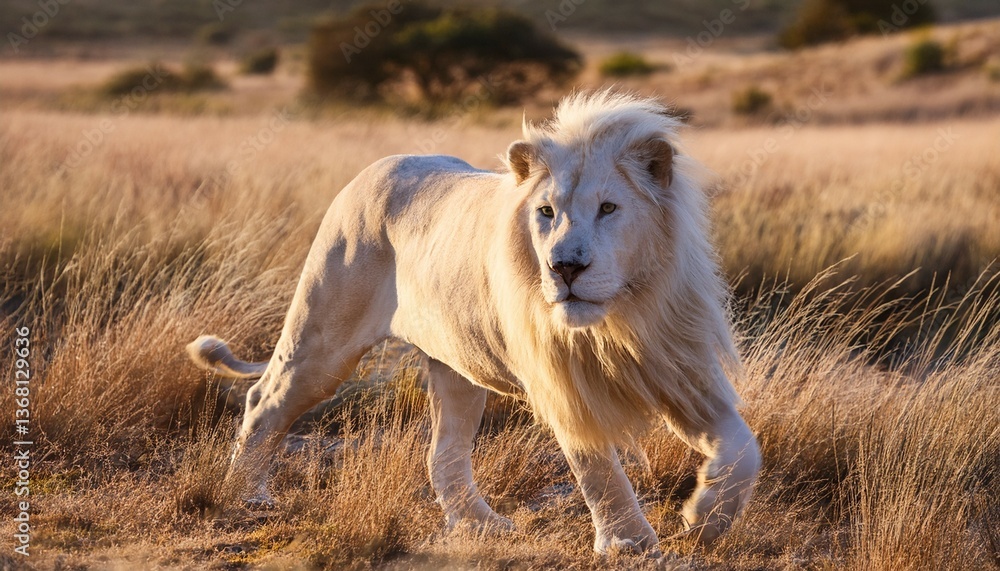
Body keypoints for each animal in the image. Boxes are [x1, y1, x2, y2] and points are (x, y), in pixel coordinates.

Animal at [187, 90, 760, 554]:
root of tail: (374, 169)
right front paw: (628, 542)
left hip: (455, 366)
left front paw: (705, 518)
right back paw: (245, 493)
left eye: (608, 208)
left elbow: (744, 449)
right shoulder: (562, 384)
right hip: (323, 335)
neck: (620, 317)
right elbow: (598, 468)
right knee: (265, 399)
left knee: (443, 454)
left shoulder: (680, 372)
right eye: (547, 212)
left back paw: (479, 524)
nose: (564, 267)